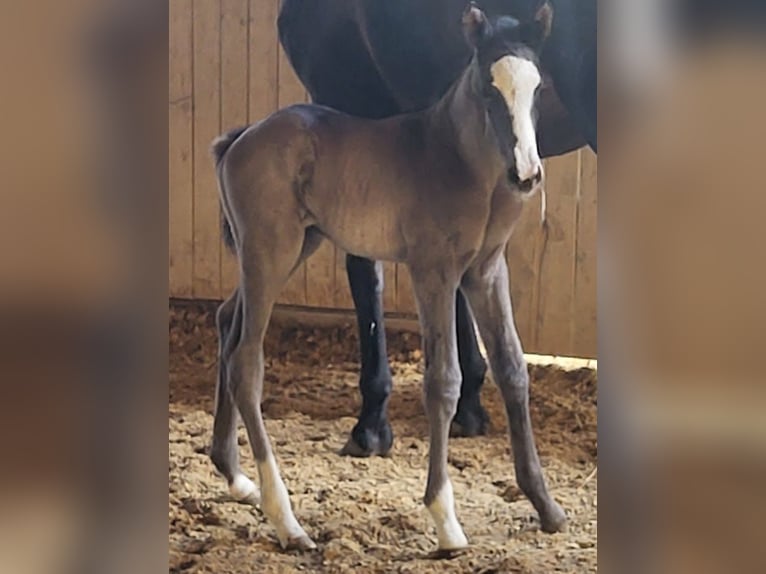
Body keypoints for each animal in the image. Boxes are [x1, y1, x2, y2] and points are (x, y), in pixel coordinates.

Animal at [208, 3, 564, 552]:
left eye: (539, 87)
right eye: (488, 89)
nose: (526, 173)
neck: (455, 156)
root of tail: (241, 138)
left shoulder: (486, 271)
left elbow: (513, 369)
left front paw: (546, 507)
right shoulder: (433, 270)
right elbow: (443, 381)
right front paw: (445, 521)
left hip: (287, 249)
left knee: (228, 324)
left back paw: (237, 478)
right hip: (270, 251)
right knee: (247, 359)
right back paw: (287, 521)